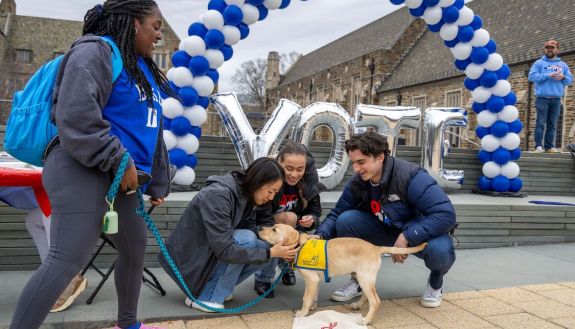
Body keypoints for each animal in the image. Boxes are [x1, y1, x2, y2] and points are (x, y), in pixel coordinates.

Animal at [260, 222, 428, 324]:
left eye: (274, 229)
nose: (260, 228)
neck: (299, 245)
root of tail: (376, 247)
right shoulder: (316, 280)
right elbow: (313, 296)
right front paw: (312, 307)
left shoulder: (311, 279)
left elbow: (306, 297)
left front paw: (302, 313)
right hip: (363, 277)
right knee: (367, 295)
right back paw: (358, 306)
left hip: (364, 277)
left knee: (375, 300)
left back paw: (366, 320)